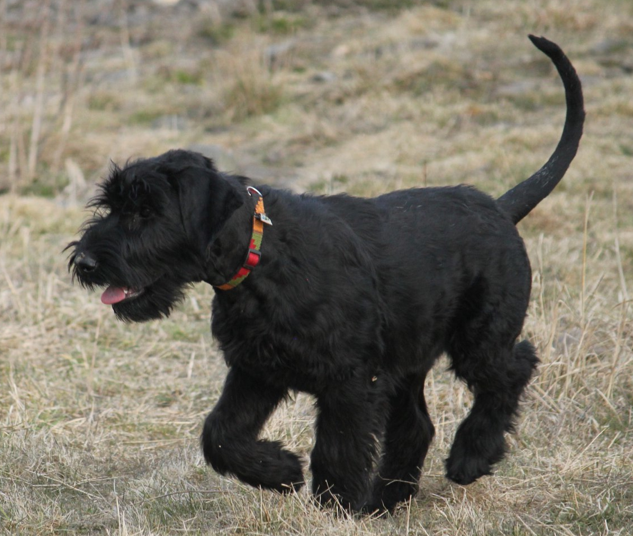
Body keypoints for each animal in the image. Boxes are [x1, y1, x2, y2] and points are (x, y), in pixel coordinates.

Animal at [68, 35, 584, 512]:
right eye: (112, 204)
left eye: (146, 211)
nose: (86, 262)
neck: (260, 259)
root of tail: (499, 207)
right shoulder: (257, 370)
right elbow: (220, 434)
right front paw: (281, 472)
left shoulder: (348, 382)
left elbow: (337, 449)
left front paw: (335, 506)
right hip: (406, 361)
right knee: (418, 425)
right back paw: (387, 501)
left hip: (479, 337)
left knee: (512, 370)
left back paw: (469, 459)